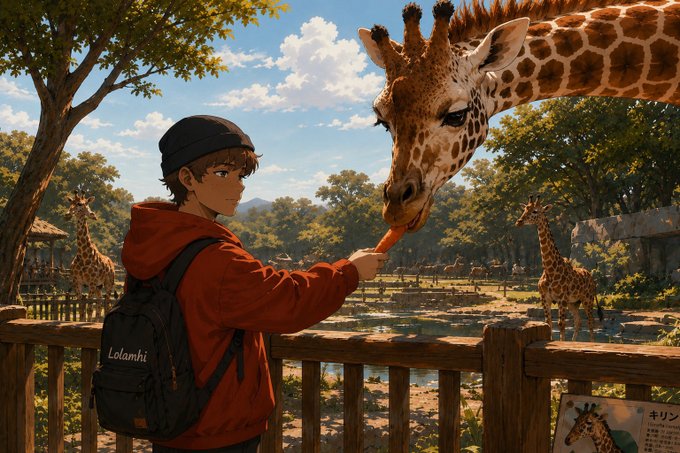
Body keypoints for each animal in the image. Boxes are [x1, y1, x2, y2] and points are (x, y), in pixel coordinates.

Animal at [515, 195, 602, 341]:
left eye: (535, 211)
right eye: (525, 209)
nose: (519, 222)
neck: (550, 271)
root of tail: (591, 276)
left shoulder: (561, 299)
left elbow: (561, 324)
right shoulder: (545, 298)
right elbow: (548, 322)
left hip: (587, 299)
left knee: (591, 321)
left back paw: (591, 342)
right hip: (574, 302)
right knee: (578, 320)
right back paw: (574, 342)